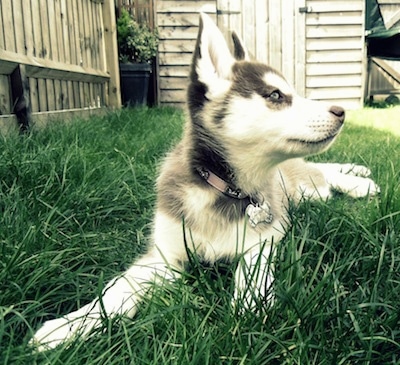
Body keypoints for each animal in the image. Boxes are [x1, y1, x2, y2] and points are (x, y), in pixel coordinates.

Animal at [31, 13, 378, 350]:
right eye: (276, 95)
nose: (341, 111)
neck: (223, 187)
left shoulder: (268, 233)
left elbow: (252, 262)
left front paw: (249, 302)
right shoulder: (163, 254)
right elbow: (117, 287)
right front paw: (70, 325)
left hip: (305, 190)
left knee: (320, 174)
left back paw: (360, 182)